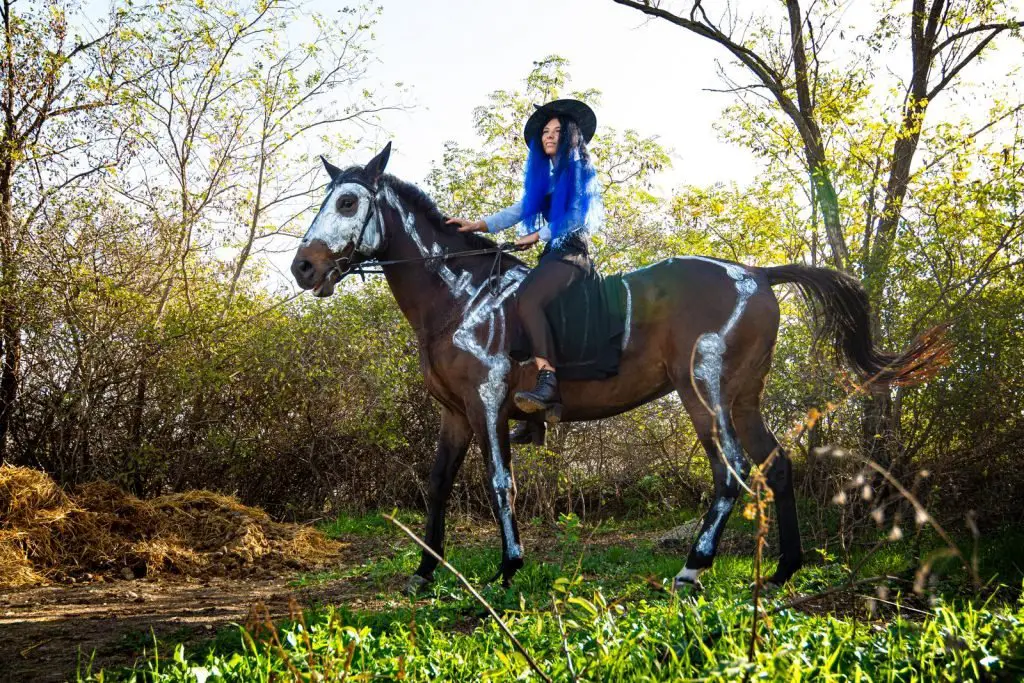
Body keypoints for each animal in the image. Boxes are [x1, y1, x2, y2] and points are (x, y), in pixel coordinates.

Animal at [292, 144, 946, 593]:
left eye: (348, 202)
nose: (303, 267)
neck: (459, 294)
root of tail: (756, 273)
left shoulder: (487, 401)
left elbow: (499, 481)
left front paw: (509, 568)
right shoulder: (455, 413)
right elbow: (437, 487)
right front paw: (425, 574)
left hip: (702, 392)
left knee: (732, 471)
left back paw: (693, 569)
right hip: (741, 398)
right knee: (776, 464)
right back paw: (785, 568)